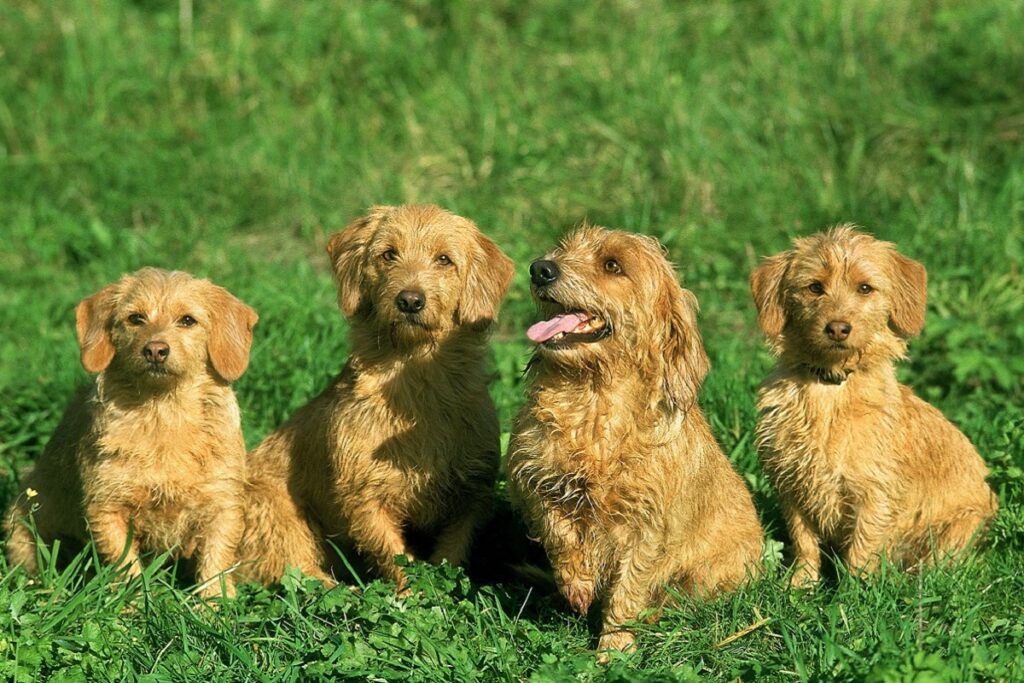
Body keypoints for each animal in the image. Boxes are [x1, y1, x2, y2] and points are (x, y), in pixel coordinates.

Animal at [7, 266, 260, 598]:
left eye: (187, 320)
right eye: (135, 318)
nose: (155, 349)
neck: (163, 415)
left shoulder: (223, 505)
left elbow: (215, 562)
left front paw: (216, 605)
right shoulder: (107, 508)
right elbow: (126, 565)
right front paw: (133, 604)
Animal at [237, 204, 512, 593]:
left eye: (444, 259)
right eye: (388, 254)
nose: (410, 300)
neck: (415, 389)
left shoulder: (472, 492)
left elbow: (452, 553)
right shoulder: (364, 497)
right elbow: (394, 554)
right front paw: (414, 595)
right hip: (277, 513)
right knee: (300, 575)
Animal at [507, 224, 765, 655]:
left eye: (613, 265)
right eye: (564, 249)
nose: (540, 268)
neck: (593, 399)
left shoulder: (646, 527)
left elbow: (628, 589)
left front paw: (614, 649)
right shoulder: (530, 476)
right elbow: (556, 528)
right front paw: (576, 582)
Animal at [749, 227, 995, 585]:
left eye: (864, 288)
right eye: (814, 287)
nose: (838, 328)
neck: (831, 388)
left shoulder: (873, 494)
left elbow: (861, 551)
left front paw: (853, 592)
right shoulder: (793, 485)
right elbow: (804, 544)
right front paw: (800, 587)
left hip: (958, 529)